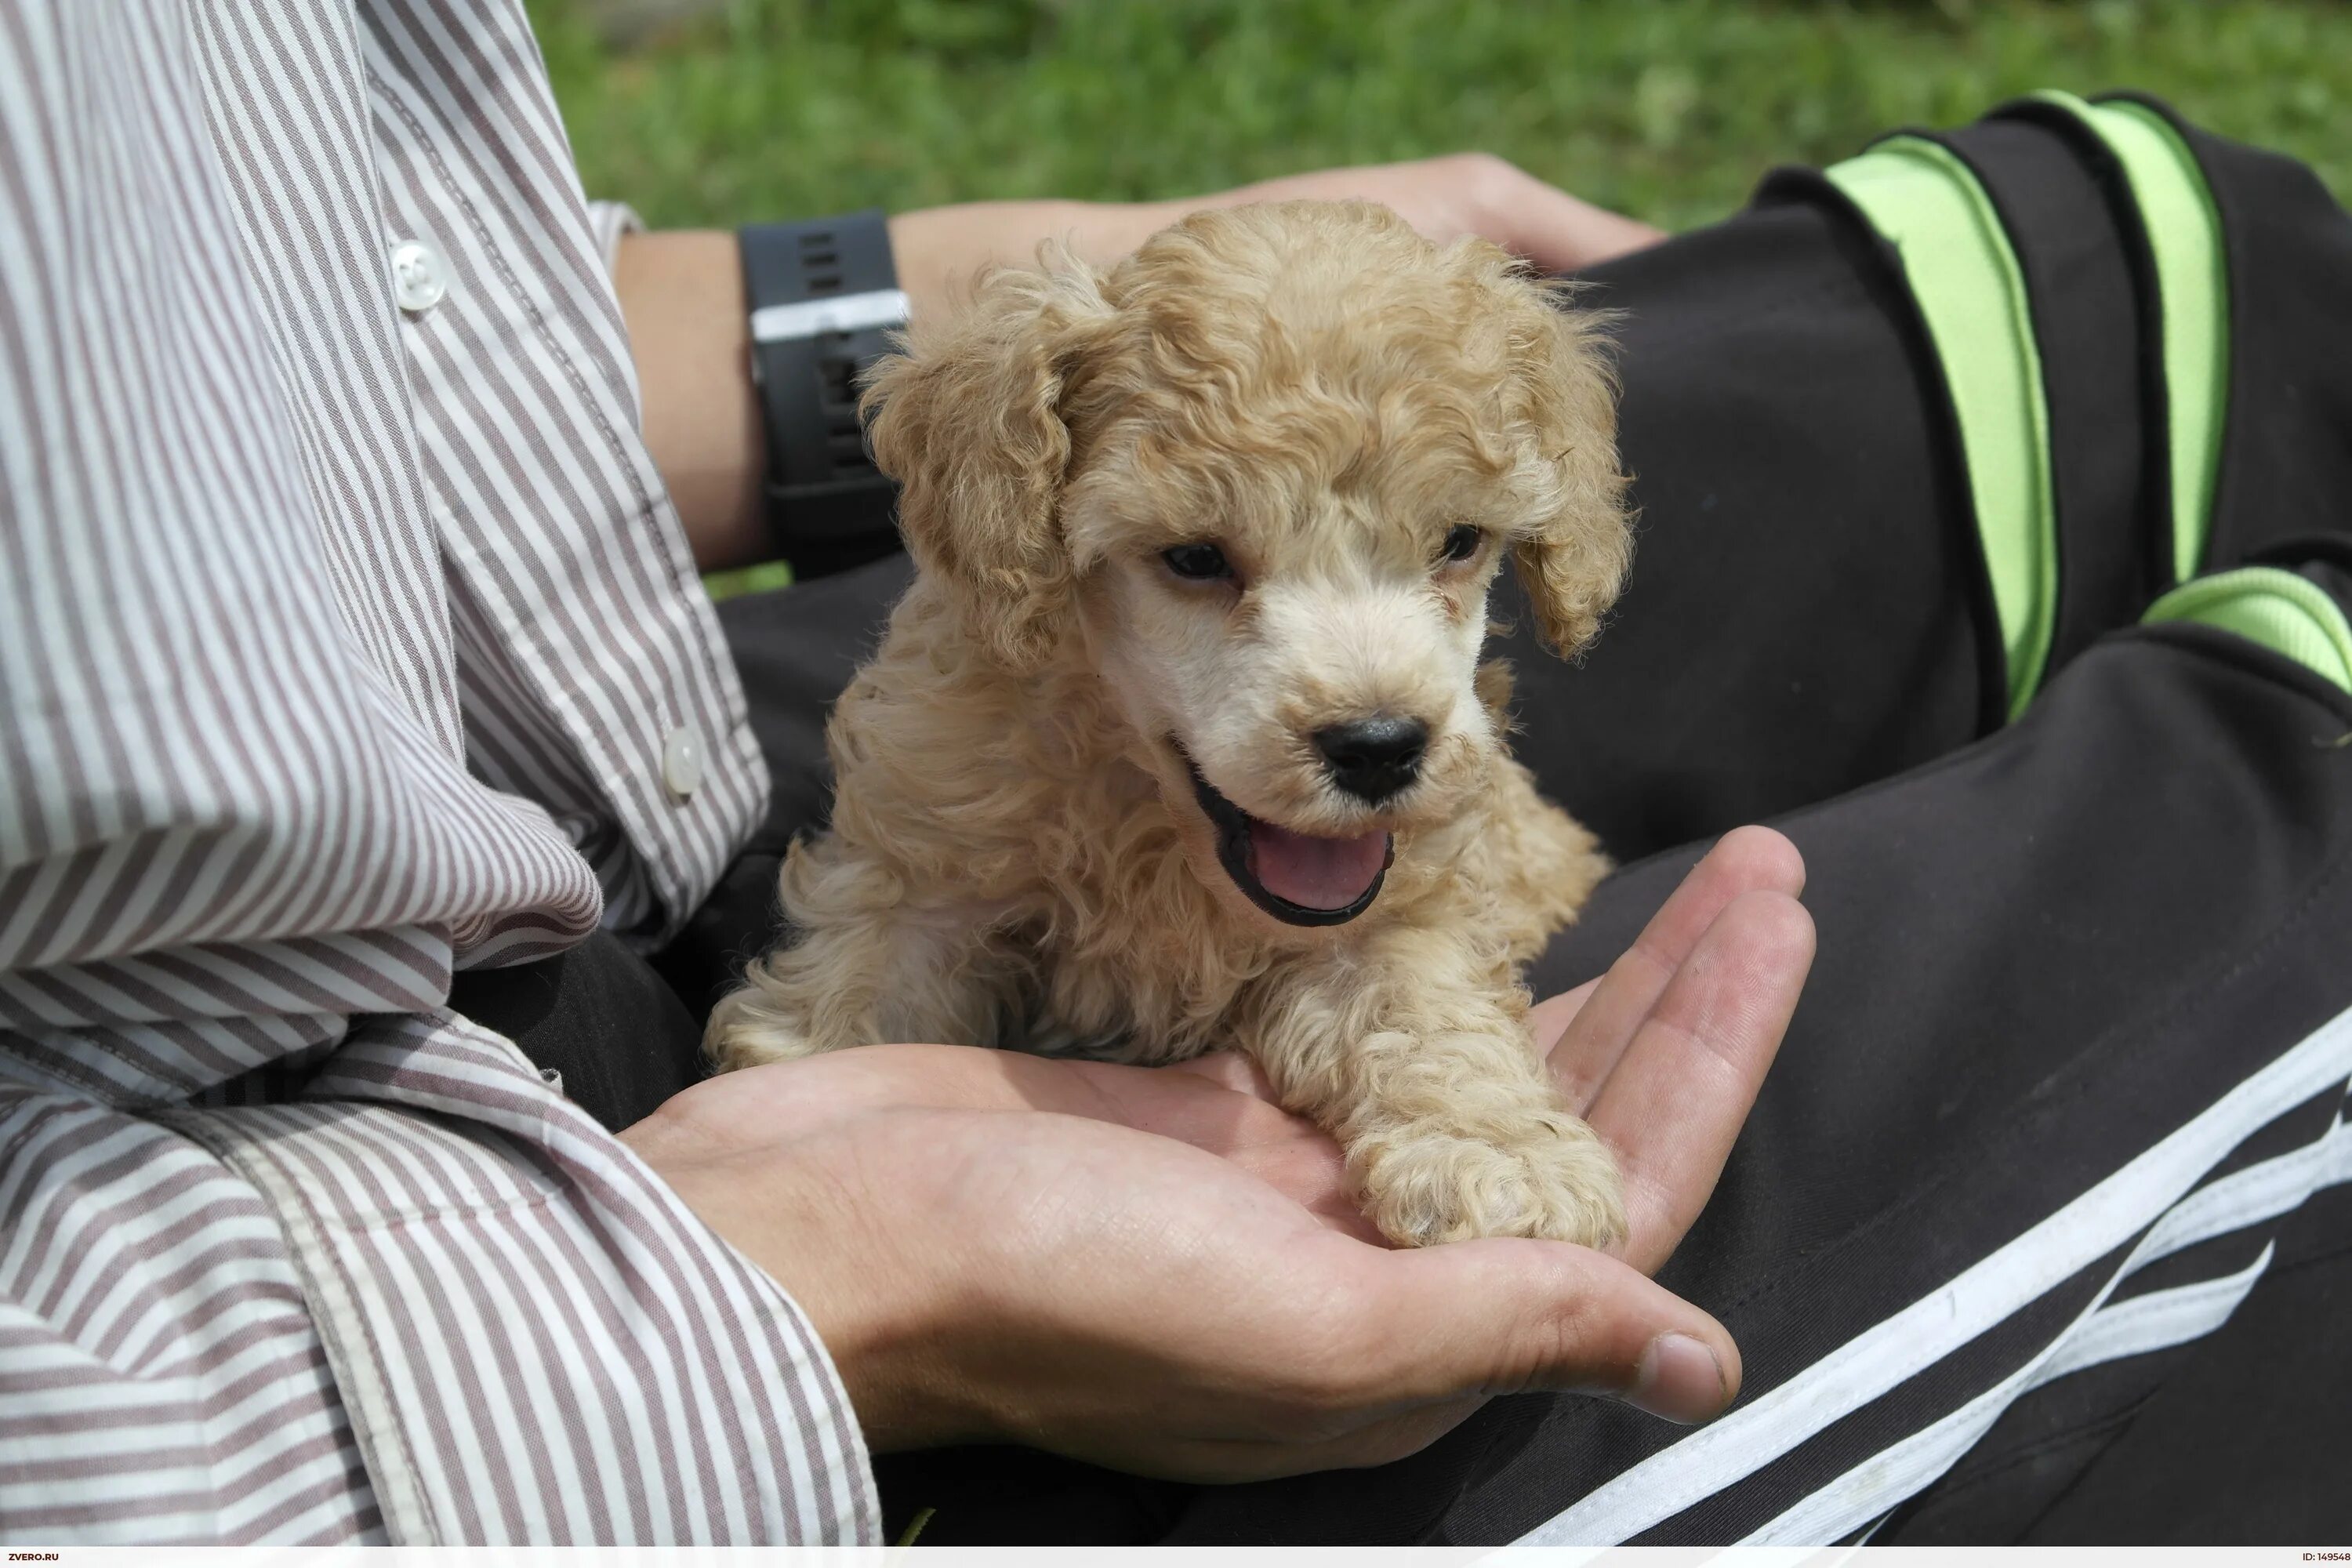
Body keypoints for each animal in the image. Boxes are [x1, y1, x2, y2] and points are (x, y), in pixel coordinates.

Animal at [710, 199, 1637, 1250]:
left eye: (1459, 542)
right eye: (1194, 557)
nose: (1377, 747)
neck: (1151, 819)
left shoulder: (1409, 897)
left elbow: (1428, 1002)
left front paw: (1504, 1156)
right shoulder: (927, 862)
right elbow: (863, 986)